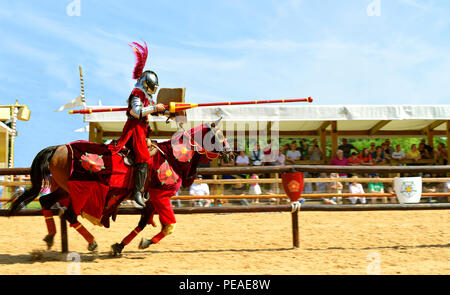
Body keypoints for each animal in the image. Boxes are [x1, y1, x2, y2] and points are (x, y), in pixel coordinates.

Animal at [7, 120, 232, 256]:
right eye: (220, 137)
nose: (230, 154)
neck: (173, 157)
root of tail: (59, 148)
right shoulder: (161, 196)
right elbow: (169, 226)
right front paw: (145, 242)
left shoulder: (153, 200)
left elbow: (143, 222)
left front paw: (121, 245)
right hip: (80, 190)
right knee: (70, 214)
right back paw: (91, 242)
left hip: (65, 189)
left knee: (45, 201)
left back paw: (50, 237)